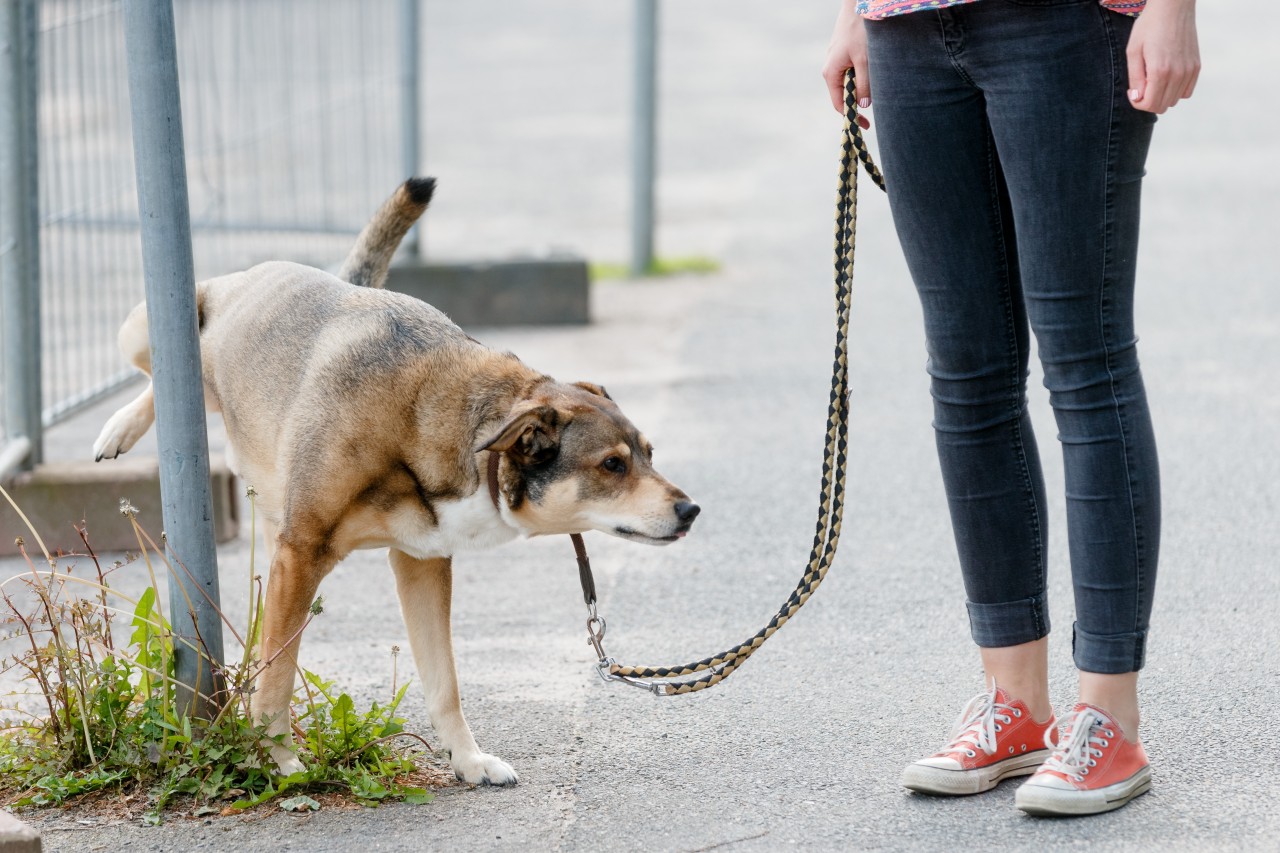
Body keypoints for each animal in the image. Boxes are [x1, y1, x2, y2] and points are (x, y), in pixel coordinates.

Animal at [94, 179, 701, 783]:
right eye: (612, 465)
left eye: (649, 455)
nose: (691, 511)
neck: (438, 419)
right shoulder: (302, 553)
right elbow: (280, 673)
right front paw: (278, 758)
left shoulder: (422, 564)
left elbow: (444, 681)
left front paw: (467, 760)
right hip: (148, 329)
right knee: (166, 376)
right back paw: (119, 427)